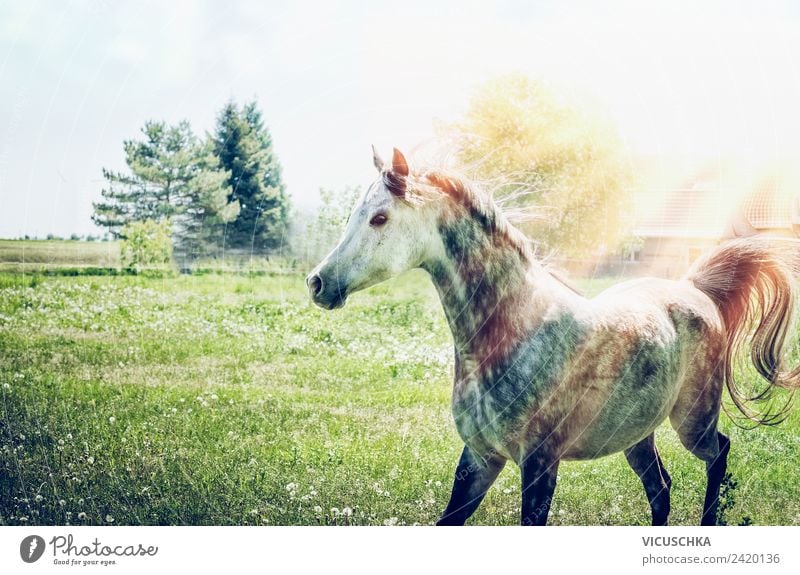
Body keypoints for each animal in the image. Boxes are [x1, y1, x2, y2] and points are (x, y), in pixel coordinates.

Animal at [304, 147, 800, 528]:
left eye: (379, 218)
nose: (318, 283)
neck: (511, 333)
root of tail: (695, 290)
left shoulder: (539, 464)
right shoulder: (479, 458)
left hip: (693, 421)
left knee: (719, 456)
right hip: (636, 433)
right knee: (661, 489)